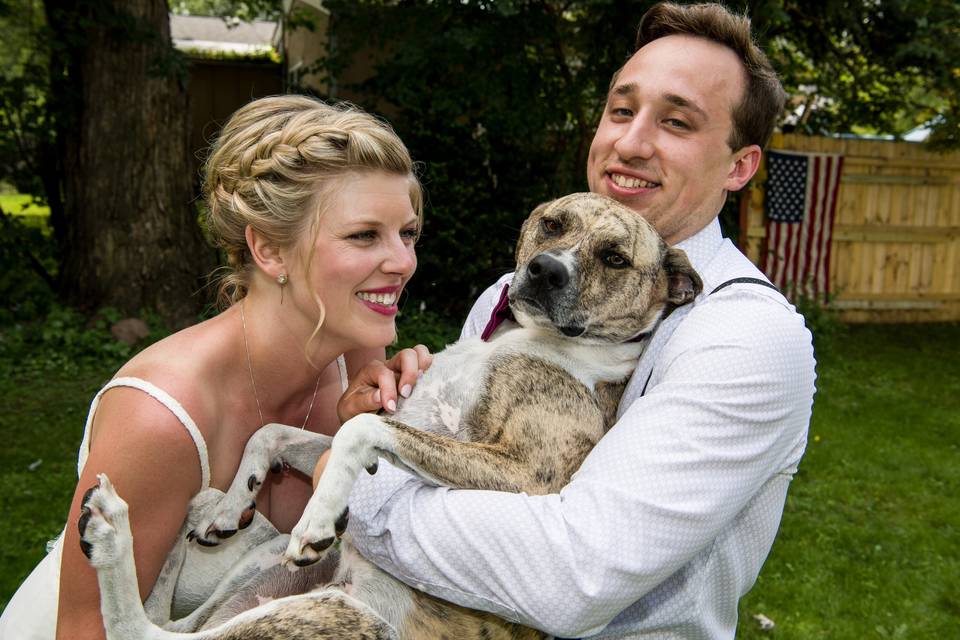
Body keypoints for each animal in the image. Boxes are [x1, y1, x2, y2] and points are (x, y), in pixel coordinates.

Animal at [77, 191, 704, 640]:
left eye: (614, 258)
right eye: (553, 224)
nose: (546, 271)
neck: (522, 340)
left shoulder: (527, 473)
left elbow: (358, 428)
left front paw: (318, 515)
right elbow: (274, 431)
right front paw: (236, 501)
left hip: (345, 617)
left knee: (142, 633)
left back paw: (112, 531)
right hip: (260, 575)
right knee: (165, 624)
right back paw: (192, 517)